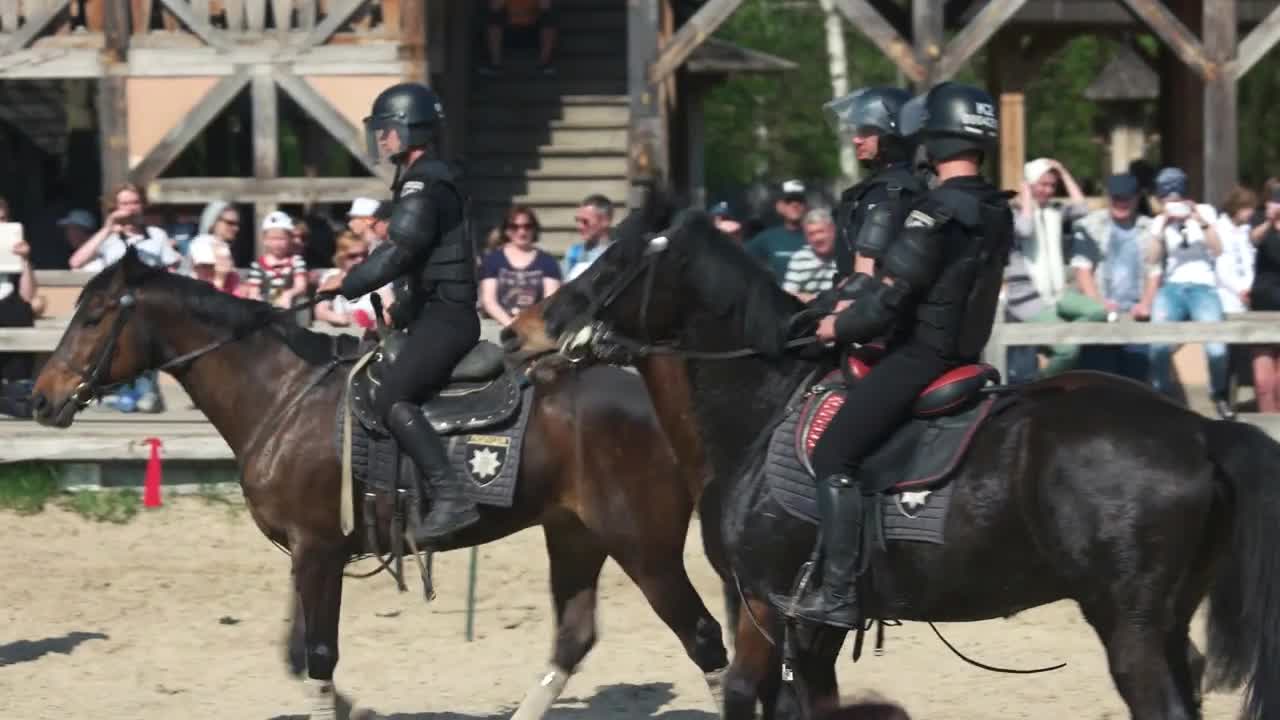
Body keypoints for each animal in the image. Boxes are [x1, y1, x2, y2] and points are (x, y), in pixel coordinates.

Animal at [32, 248, 732, 717]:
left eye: (93, 317)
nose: (40, 398)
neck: (284, 394)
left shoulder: (318, 549)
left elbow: (317, 656)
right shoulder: (307, 554)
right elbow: (298, 655)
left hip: (644, 547)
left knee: (703, 639)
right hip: (575, 535)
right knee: (574, 638)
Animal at [504, 208, 1280, 717]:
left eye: (614, 263)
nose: (516, 334)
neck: (762, 406)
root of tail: (1200, 430)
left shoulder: (769, 604)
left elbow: (747, 693)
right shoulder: (808, 627)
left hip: (1131, 628)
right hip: (1166, 623)